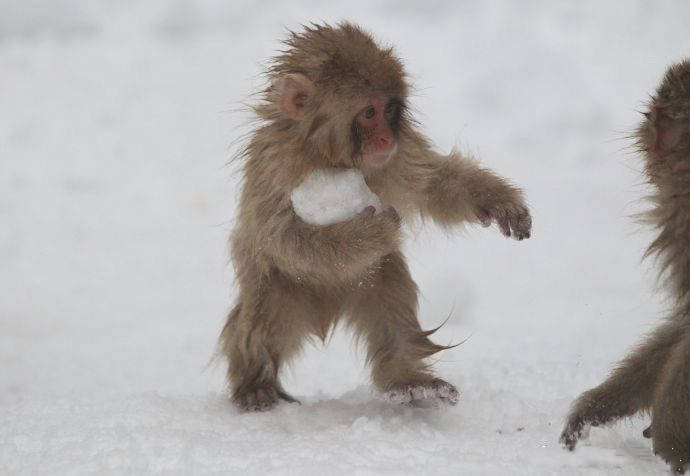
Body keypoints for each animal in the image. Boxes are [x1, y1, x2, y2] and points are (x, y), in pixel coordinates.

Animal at [220, 23, 532, 412]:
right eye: (369, 113)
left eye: (390, 109)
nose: (385, 138)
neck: (331, 158)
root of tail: (326, 312)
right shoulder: (275, 168)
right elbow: (280, 238)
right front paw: (374, 231)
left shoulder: (400, 156)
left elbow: (434, 184)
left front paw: (499, 201)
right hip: (284, 289)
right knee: (266, 314)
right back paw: (255, 382)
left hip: (363, 284)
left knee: (388, 286)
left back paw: (407, 377)